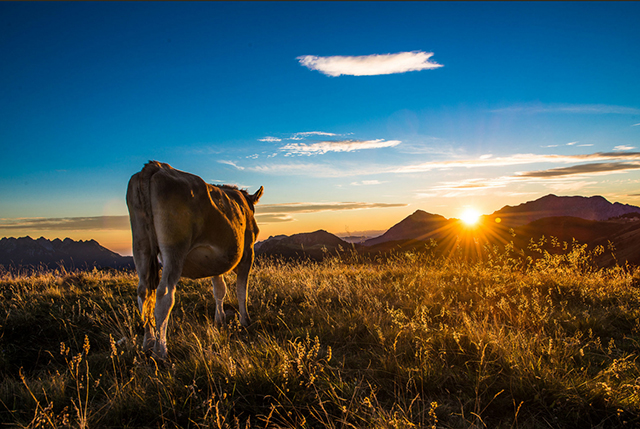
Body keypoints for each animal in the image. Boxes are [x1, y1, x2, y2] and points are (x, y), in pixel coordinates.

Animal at [127, 160, 262, 358]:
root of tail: (157, 166)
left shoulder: (217, 262)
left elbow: (219, 290)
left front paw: (219, 319)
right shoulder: (248, 252)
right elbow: (241, 290)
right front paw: (245, 320)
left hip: (140, 244)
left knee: (144, 293)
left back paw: (148, 342)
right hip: (175, 247)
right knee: (164, 294)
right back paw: (161, 350)